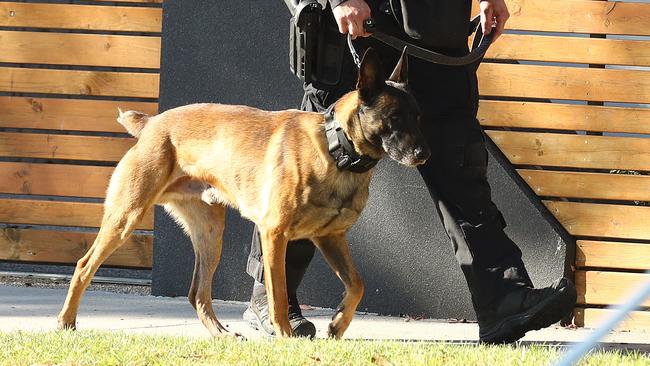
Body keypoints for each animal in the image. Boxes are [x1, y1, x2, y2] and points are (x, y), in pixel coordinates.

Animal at [58, 47, 428, 338]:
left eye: (419, 116)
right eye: (395, 117)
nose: (424, 154)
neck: (335, 149)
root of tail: (152, 124)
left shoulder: (331, 238)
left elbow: (357, 283)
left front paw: (338, 323)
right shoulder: (274, 234)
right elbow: (279, 294)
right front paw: (286, 336)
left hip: (210, 234)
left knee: (197, 293)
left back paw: (221, 334)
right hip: (126, 217)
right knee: (84, 265)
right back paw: (66, 322)